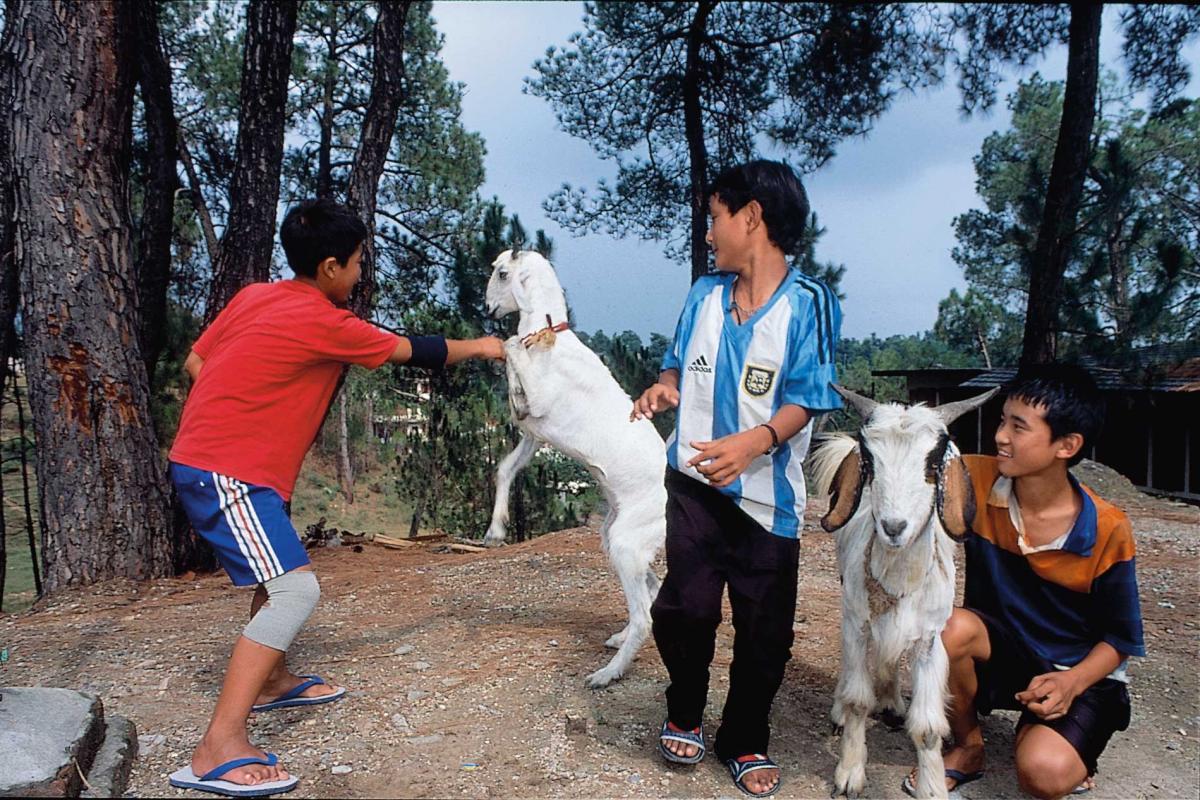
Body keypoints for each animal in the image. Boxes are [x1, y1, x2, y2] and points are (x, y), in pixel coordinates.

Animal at [482, 249, 668, 688]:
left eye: (502, 272)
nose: (487, 307)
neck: (548, 337)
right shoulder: (533, 435)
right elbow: (504, 469)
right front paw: (496, 530)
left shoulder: (541, 404)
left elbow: (509, 343)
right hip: (617, 540)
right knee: (651, 588)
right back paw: (617, 640)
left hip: (626, 544)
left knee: (645, 616)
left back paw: (607, 673)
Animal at [810, 384, 997, 799]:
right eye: (870, 461)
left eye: (933, 461)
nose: (894, 527)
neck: (899, 580)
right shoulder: (858, 622)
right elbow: (858, 700)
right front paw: (850, 772)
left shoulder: (930, 639)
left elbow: (927, 727)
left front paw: (932, 787)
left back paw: (893, 701)